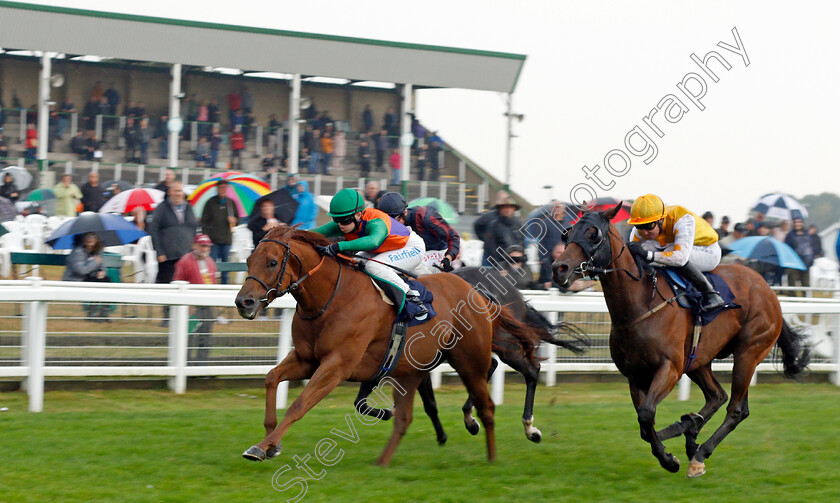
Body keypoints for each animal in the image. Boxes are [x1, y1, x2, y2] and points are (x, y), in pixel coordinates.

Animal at [235, 226, 544, 466]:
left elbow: (299, 405)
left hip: (471, 358)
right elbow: (271, 378)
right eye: (249, 259)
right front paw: (271, 442)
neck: (330, 298)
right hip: (424, 366)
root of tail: (480, 295)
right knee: (414, 414)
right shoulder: (306, 358)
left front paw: (262, 447)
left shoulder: (337, 365)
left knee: (503, 391)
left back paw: (501, 446)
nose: (243, 302)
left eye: (272, 262)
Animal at [548, 206, 812, 480]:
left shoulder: (670, 368)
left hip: (748, 354)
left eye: (593, 235)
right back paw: (690, 429)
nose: (559, 268)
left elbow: (646, 415)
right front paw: (674, 441)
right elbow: (645, 423)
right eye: (567, 235)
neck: (639, 306)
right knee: (717, 396)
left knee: (736, 409)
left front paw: (669, 459)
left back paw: (699, 452)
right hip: (699, 360)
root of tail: (769, 291)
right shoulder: (635, 376)